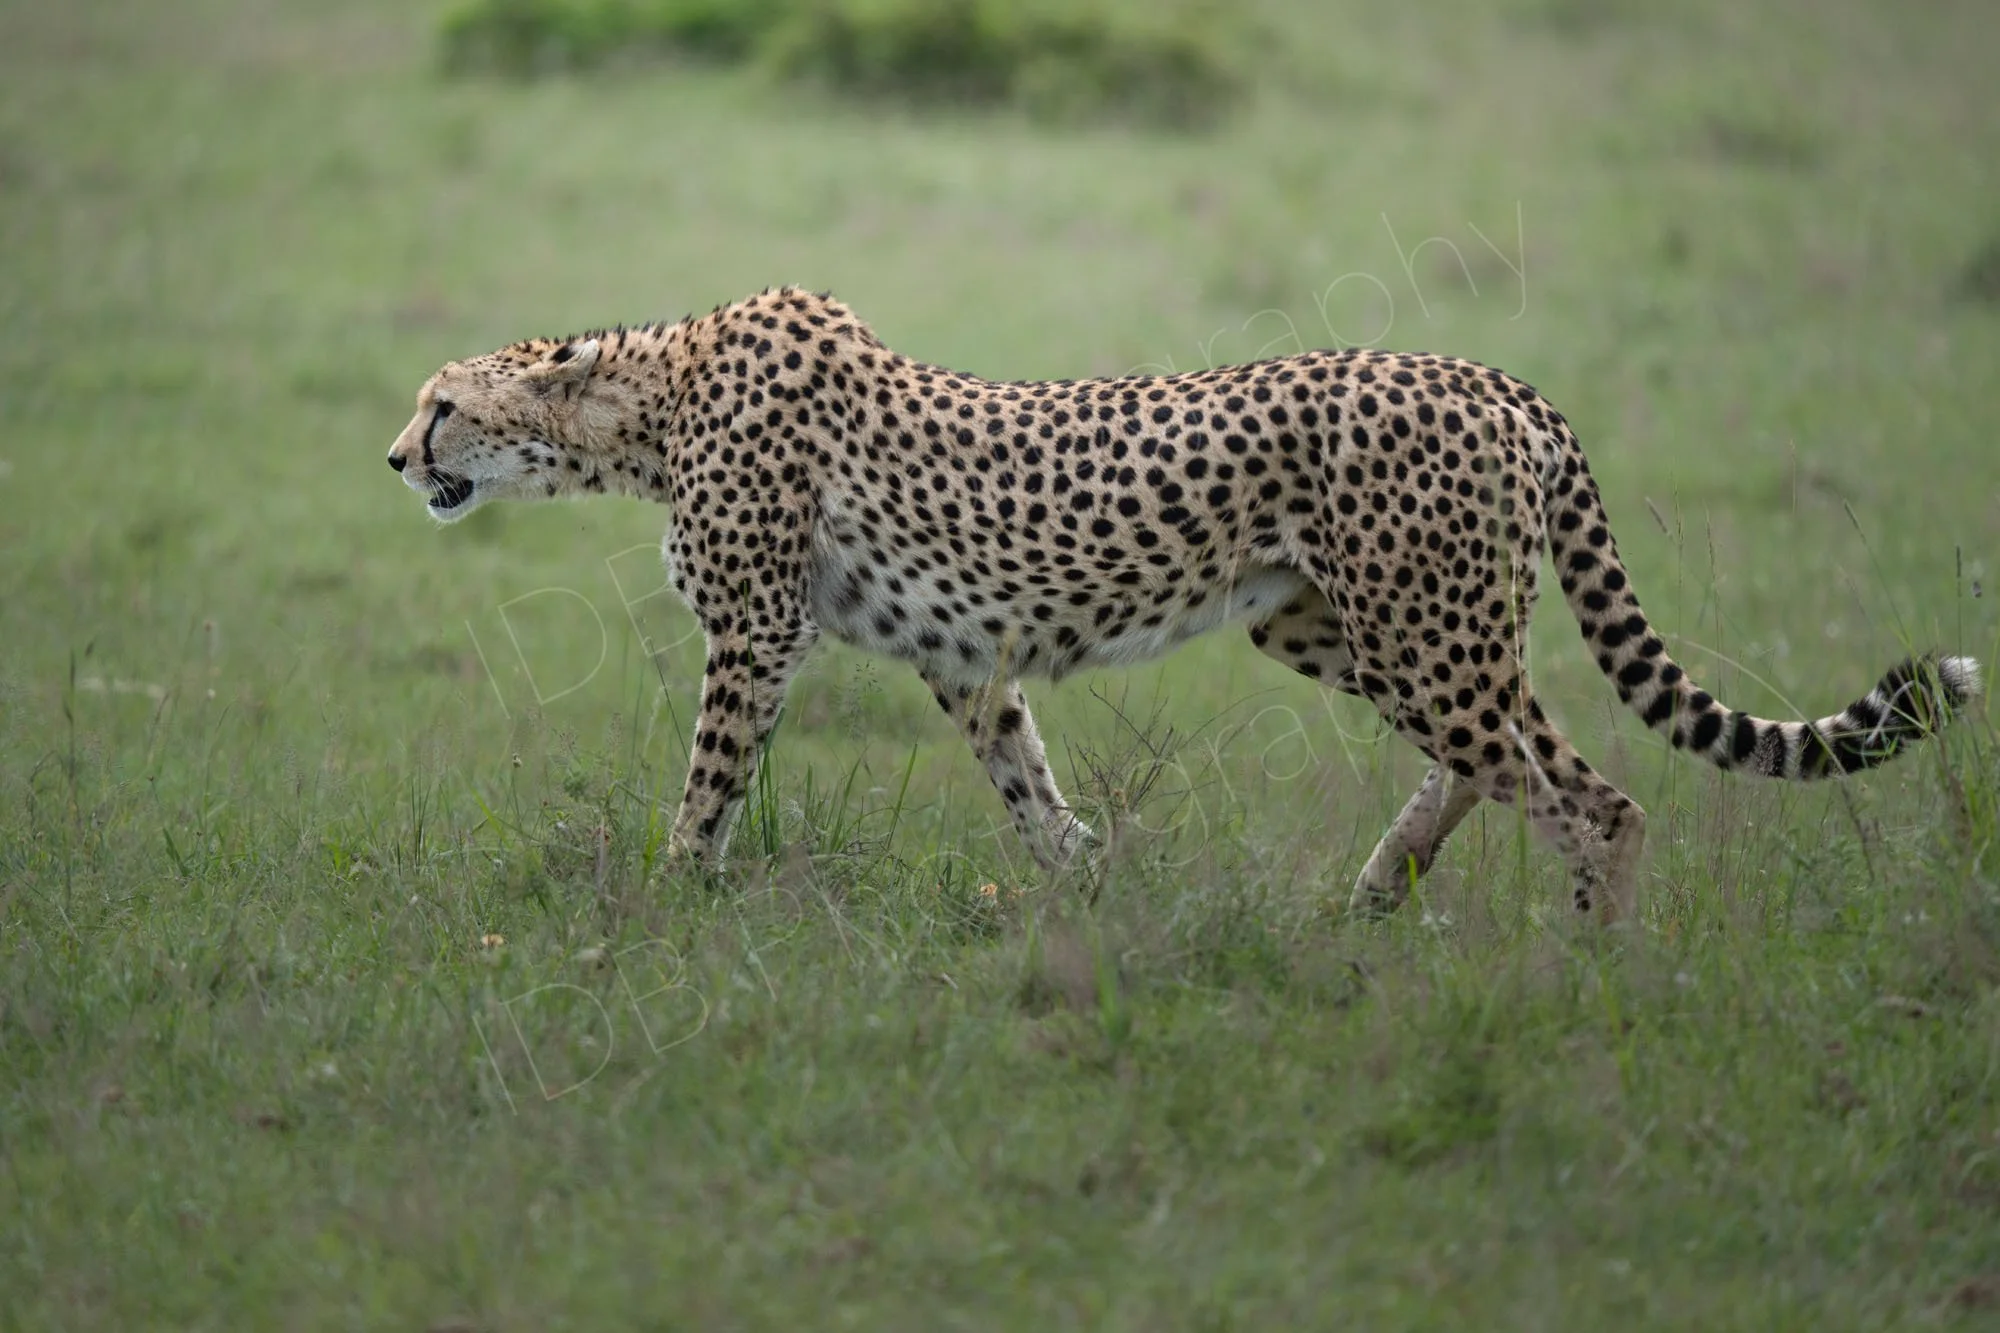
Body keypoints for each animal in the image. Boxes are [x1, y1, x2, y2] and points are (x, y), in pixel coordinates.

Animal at [386, 287, 1980, 922]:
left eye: (443, 401)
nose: (397, 457)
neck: (645, 406)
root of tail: (1490, 377)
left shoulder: (756, 633)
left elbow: (707, 786)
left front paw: (663, 904)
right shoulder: (961, 657)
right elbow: (1025, 785)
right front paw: (1090, 891)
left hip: (1419, 629)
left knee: (1590, 796)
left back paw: (1589, 970)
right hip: (1344, 623)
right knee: (1508, 762)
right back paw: (1377, 889)